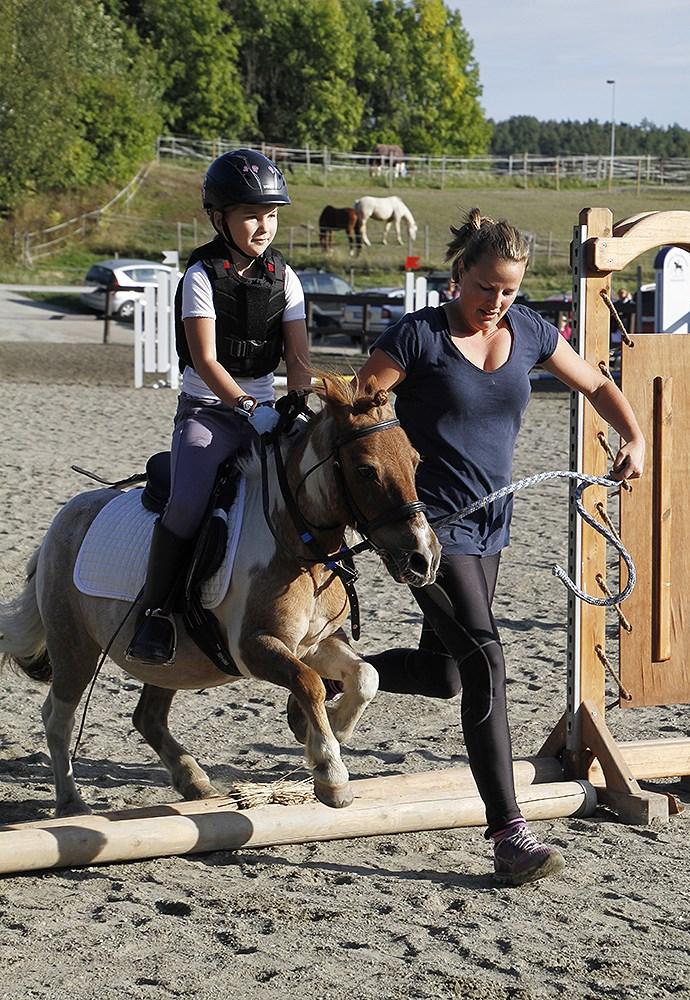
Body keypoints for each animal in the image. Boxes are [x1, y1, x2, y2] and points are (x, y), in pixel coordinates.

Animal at [0, 378, 438, 816]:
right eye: (366, 470)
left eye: (417, 461)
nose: (424, 557)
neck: (298, 541)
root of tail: (64, 519)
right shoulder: (255, 647)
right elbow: (310, 682)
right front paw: (330, 773)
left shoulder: (316, 641)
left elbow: (366, 675)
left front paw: (324, 728)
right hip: (74, 646)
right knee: (58, 717)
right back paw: (72, 802)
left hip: (172, 662)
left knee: (147, 717)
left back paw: (194, 781)